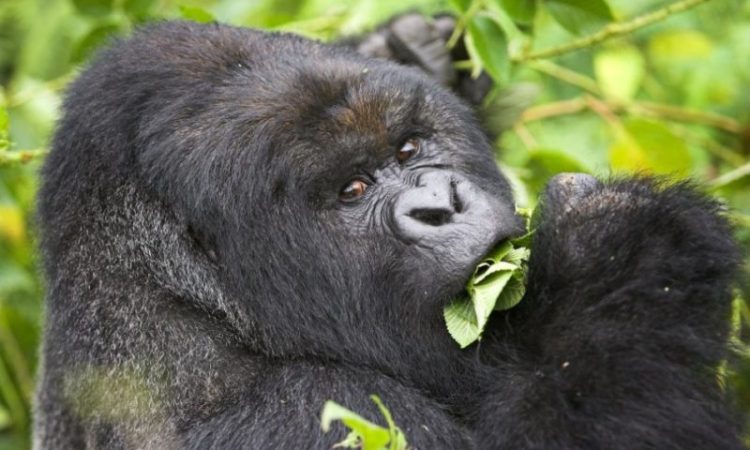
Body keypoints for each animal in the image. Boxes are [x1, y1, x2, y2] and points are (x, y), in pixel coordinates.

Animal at [33, 14, 748, 450]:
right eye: (352, 190)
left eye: (408, 149)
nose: (440, 205)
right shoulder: (311, 414)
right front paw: (624, 250)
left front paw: (402, 48)